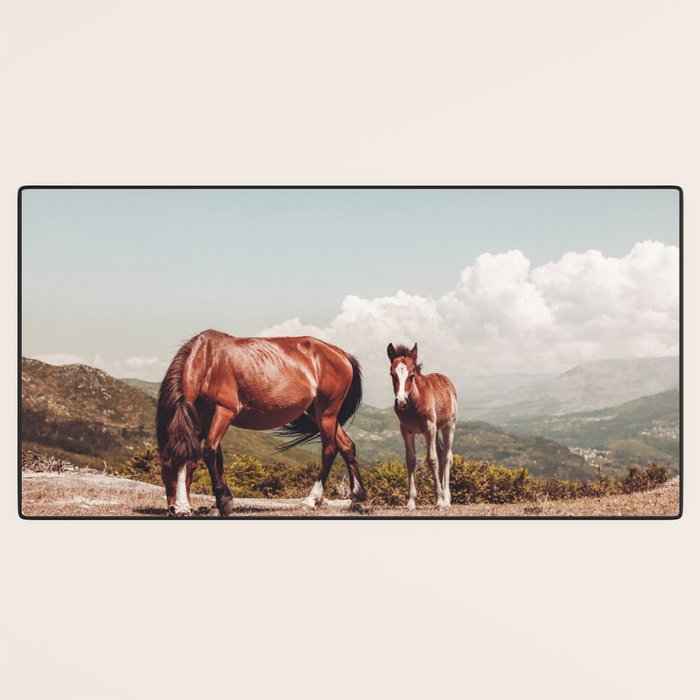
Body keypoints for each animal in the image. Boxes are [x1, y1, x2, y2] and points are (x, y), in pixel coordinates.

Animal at [156, 329, 366, 516]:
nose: (181, 510)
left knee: (329, 450)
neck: (207, 361)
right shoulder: (204, 417)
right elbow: (217, 456)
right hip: (318, 412)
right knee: (347, 446)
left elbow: (209, 451)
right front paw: (221, 502)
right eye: (166, 466)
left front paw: (223, 502)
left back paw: (311, 501)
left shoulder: (225, 411)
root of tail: (341, 354)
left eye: (191, 467)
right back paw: (357, 498)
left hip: (326, 412)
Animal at [387, 343, 458, 509]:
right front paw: (411, 502)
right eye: (392, 374)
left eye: (412, 375)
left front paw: (439, 500)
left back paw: (446, 499)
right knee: (441, 452)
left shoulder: (429, 427)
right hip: (435, 430)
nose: (401, 402)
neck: (414, 402)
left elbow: (432, 459)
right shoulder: (406, 430)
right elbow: (410, 460)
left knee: (446, 457)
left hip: (448, 426)